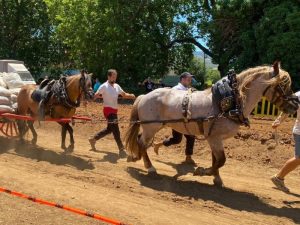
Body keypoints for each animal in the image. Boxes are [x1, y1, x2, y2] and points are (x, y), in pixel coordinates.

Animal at [124, 61, 298, 186]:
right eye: (282, 85)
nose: (295, 105)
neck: (232, 101)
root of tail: (144, 96)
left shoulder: (216, 138)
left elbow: (216, 160)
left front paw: (216, 178)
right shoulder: (214, 137)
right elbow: (221, 160)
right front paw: (203, 171)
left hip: (153, 126)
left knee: (141, 141)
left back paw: (136, 157)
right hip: (151, 127)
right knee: (142, 143)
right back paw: (150, 167)